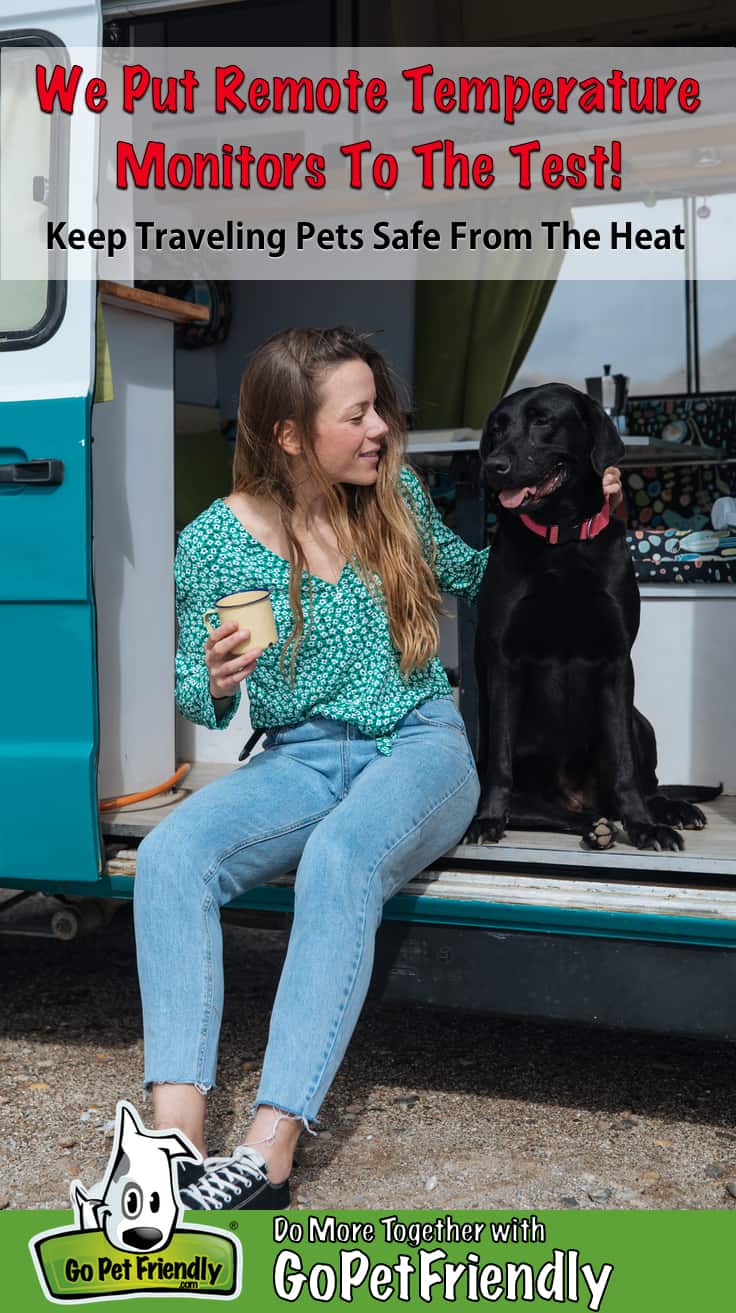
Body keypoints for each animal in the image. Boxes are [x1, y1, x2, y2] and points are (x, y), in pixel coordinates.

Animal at [464, 380, 718, 850]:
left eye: (543, 420)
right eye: (497, 428)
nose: (494, 467)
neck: (562, 540)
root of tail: (579, 796)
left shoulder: (616, 661)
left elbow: (624, 768)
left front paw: (644, 827)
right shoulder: (504, 662)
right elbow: (502, 765)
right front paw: (487, 818)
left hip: (641, 721)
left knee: (643, 784)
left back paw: (668, 810)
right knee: (552, 810)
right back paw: (593, 826)